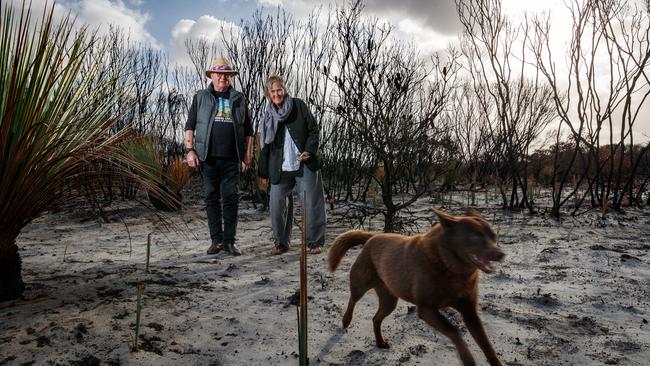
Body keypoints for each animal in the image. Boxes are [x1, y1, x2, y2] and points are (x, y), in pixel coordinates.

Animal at [326, 209, 504, 366]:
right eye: (476, 236)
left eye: (493, 236)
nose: (501, 254)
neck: (448, 264)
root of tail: (373, 236)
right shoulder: (427, 310)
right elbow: (454, 331)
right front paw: (467, 359)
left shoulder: (470, 312)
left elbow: (486, 344)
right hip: (361, 283)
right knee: (353, 299)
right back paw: (346, 320)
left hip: (389, 300)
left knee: (376, 318)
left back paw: (380, 342)